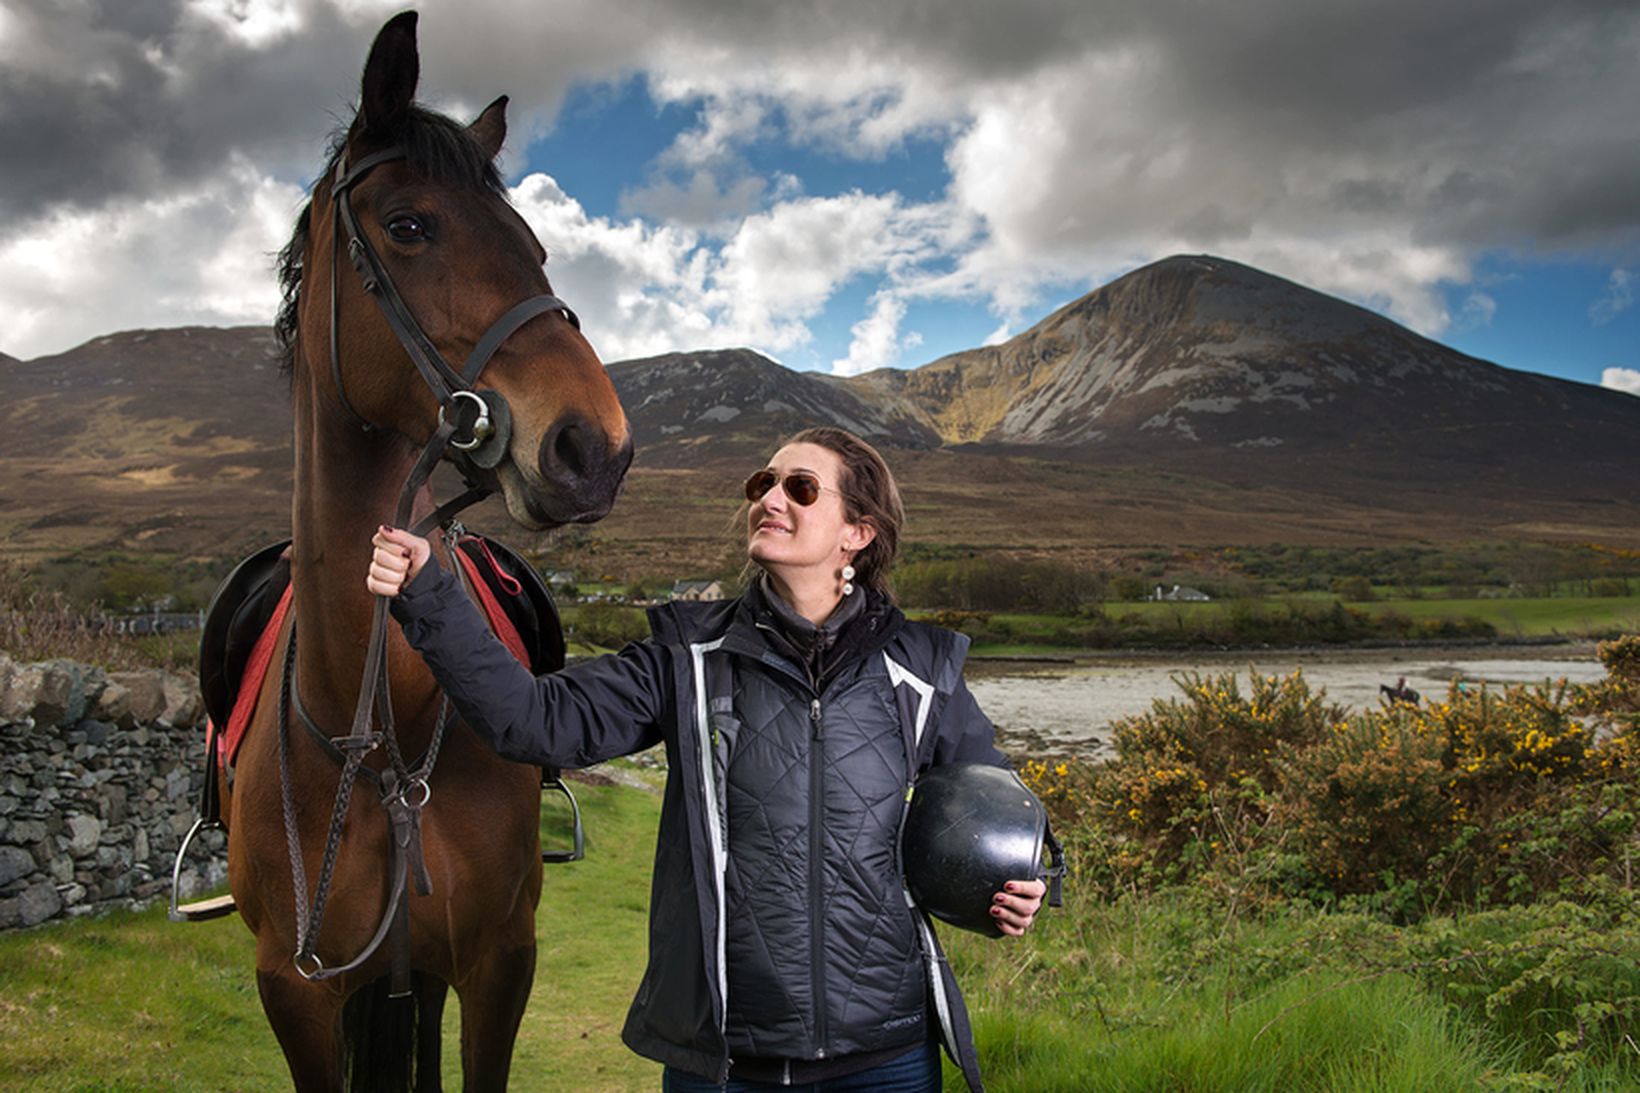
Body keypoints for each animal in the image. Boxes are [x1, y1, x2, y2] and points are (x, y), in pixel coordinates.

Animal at [218, 12, 626, 1083]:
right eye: (409, 226)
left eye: (534, 245)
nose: (596, 447)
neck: (382, 734)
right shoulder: (297, 990)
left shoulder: (498, 963)